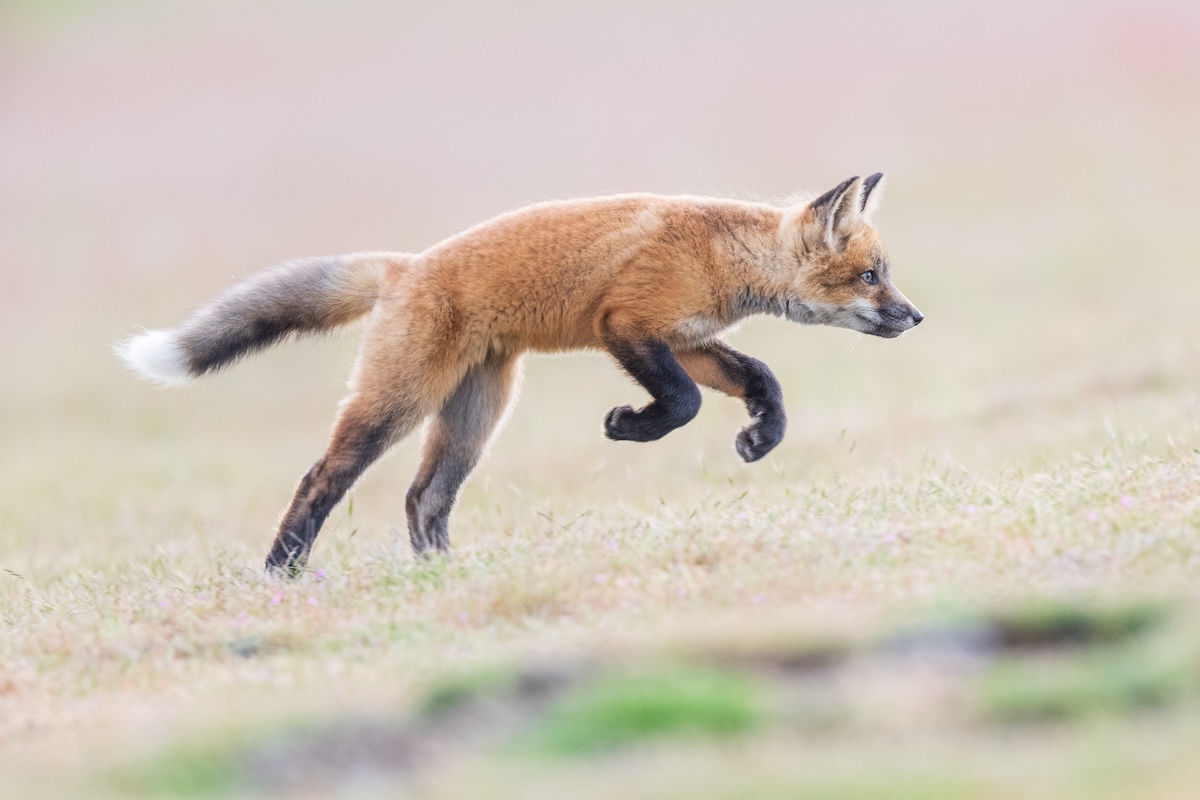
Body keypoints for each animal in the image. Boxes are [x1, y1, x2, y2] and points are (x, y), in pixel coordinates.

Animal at [117, 173, 922, 576]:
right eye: (871, 276)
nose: (915, 317)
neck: (723, 253)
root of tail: (405, 267)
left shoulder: (685, 339)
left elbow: (760, 377)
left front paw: (762, 437)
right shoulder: (628, 324)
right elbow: (685, 403)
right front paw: (629, 427)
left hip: (474, 417)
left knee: (423, 497)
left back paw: (440, 574)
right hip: (398, 402)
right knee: (323, 478)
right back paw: (280, 571)